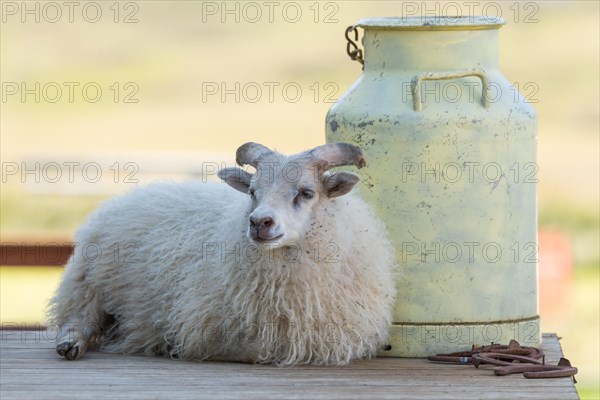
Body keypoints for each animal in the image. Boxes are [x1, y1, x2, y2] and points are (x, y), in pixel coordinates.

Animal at [49, 141, 398, 366]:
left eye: (307, 192)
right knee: (79, 318)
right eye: (253, 191)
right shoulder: (210, 329)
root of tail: (127, 195)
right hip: (87, 283)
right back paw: (71, 344)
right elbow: (251, 348)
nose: (259, 223)